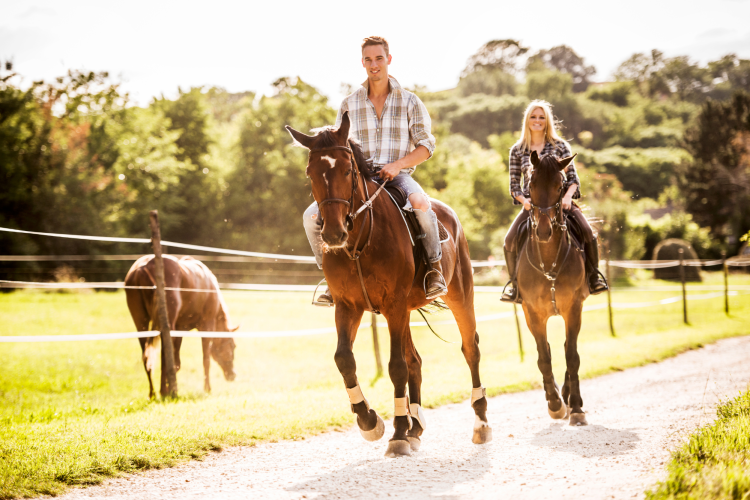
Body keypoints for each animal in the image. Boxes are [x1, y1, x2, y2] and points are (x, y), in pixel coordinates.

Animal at [125, 254, 238, 398]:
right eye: (233, 346)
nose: (233, 375)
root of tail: (143, 267)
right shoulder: (207, 325)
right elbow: (206, 359)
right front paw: (207, 389)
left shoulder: (180, 328)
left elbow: (177, 363)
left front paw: (173, 386)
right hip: (167, 327)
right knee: (164, 356)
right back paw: (164, 391)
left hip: (141, 324)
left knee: (147, 357)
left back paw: (153, 393)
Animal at [286, 113, 494, 458]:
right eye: (310, 172)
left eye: (347, 170)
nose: (333, 233)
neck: (361, 240)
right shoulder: (348, 306)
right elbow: (344, 359)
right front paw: (370, 421)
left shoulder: (395, 304)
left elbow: (396, 366)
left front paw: (396, 433)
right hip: (405, 311)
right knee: (416, 362)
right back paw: (416, 428)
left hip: (459, 297)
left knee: (470, 350)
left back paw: (479, 424)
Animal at [520, 151, 592, 426]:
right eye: (530, 184)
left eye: (560, 187)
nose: (543, 231)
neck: (549, 260)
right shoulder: (533, 314)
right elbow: (544, 357)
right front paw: (554, 403)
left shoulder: (573, 309)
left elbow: (571, 356)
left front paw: (577, 406)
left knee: (567, 350)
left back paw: (569, 397)